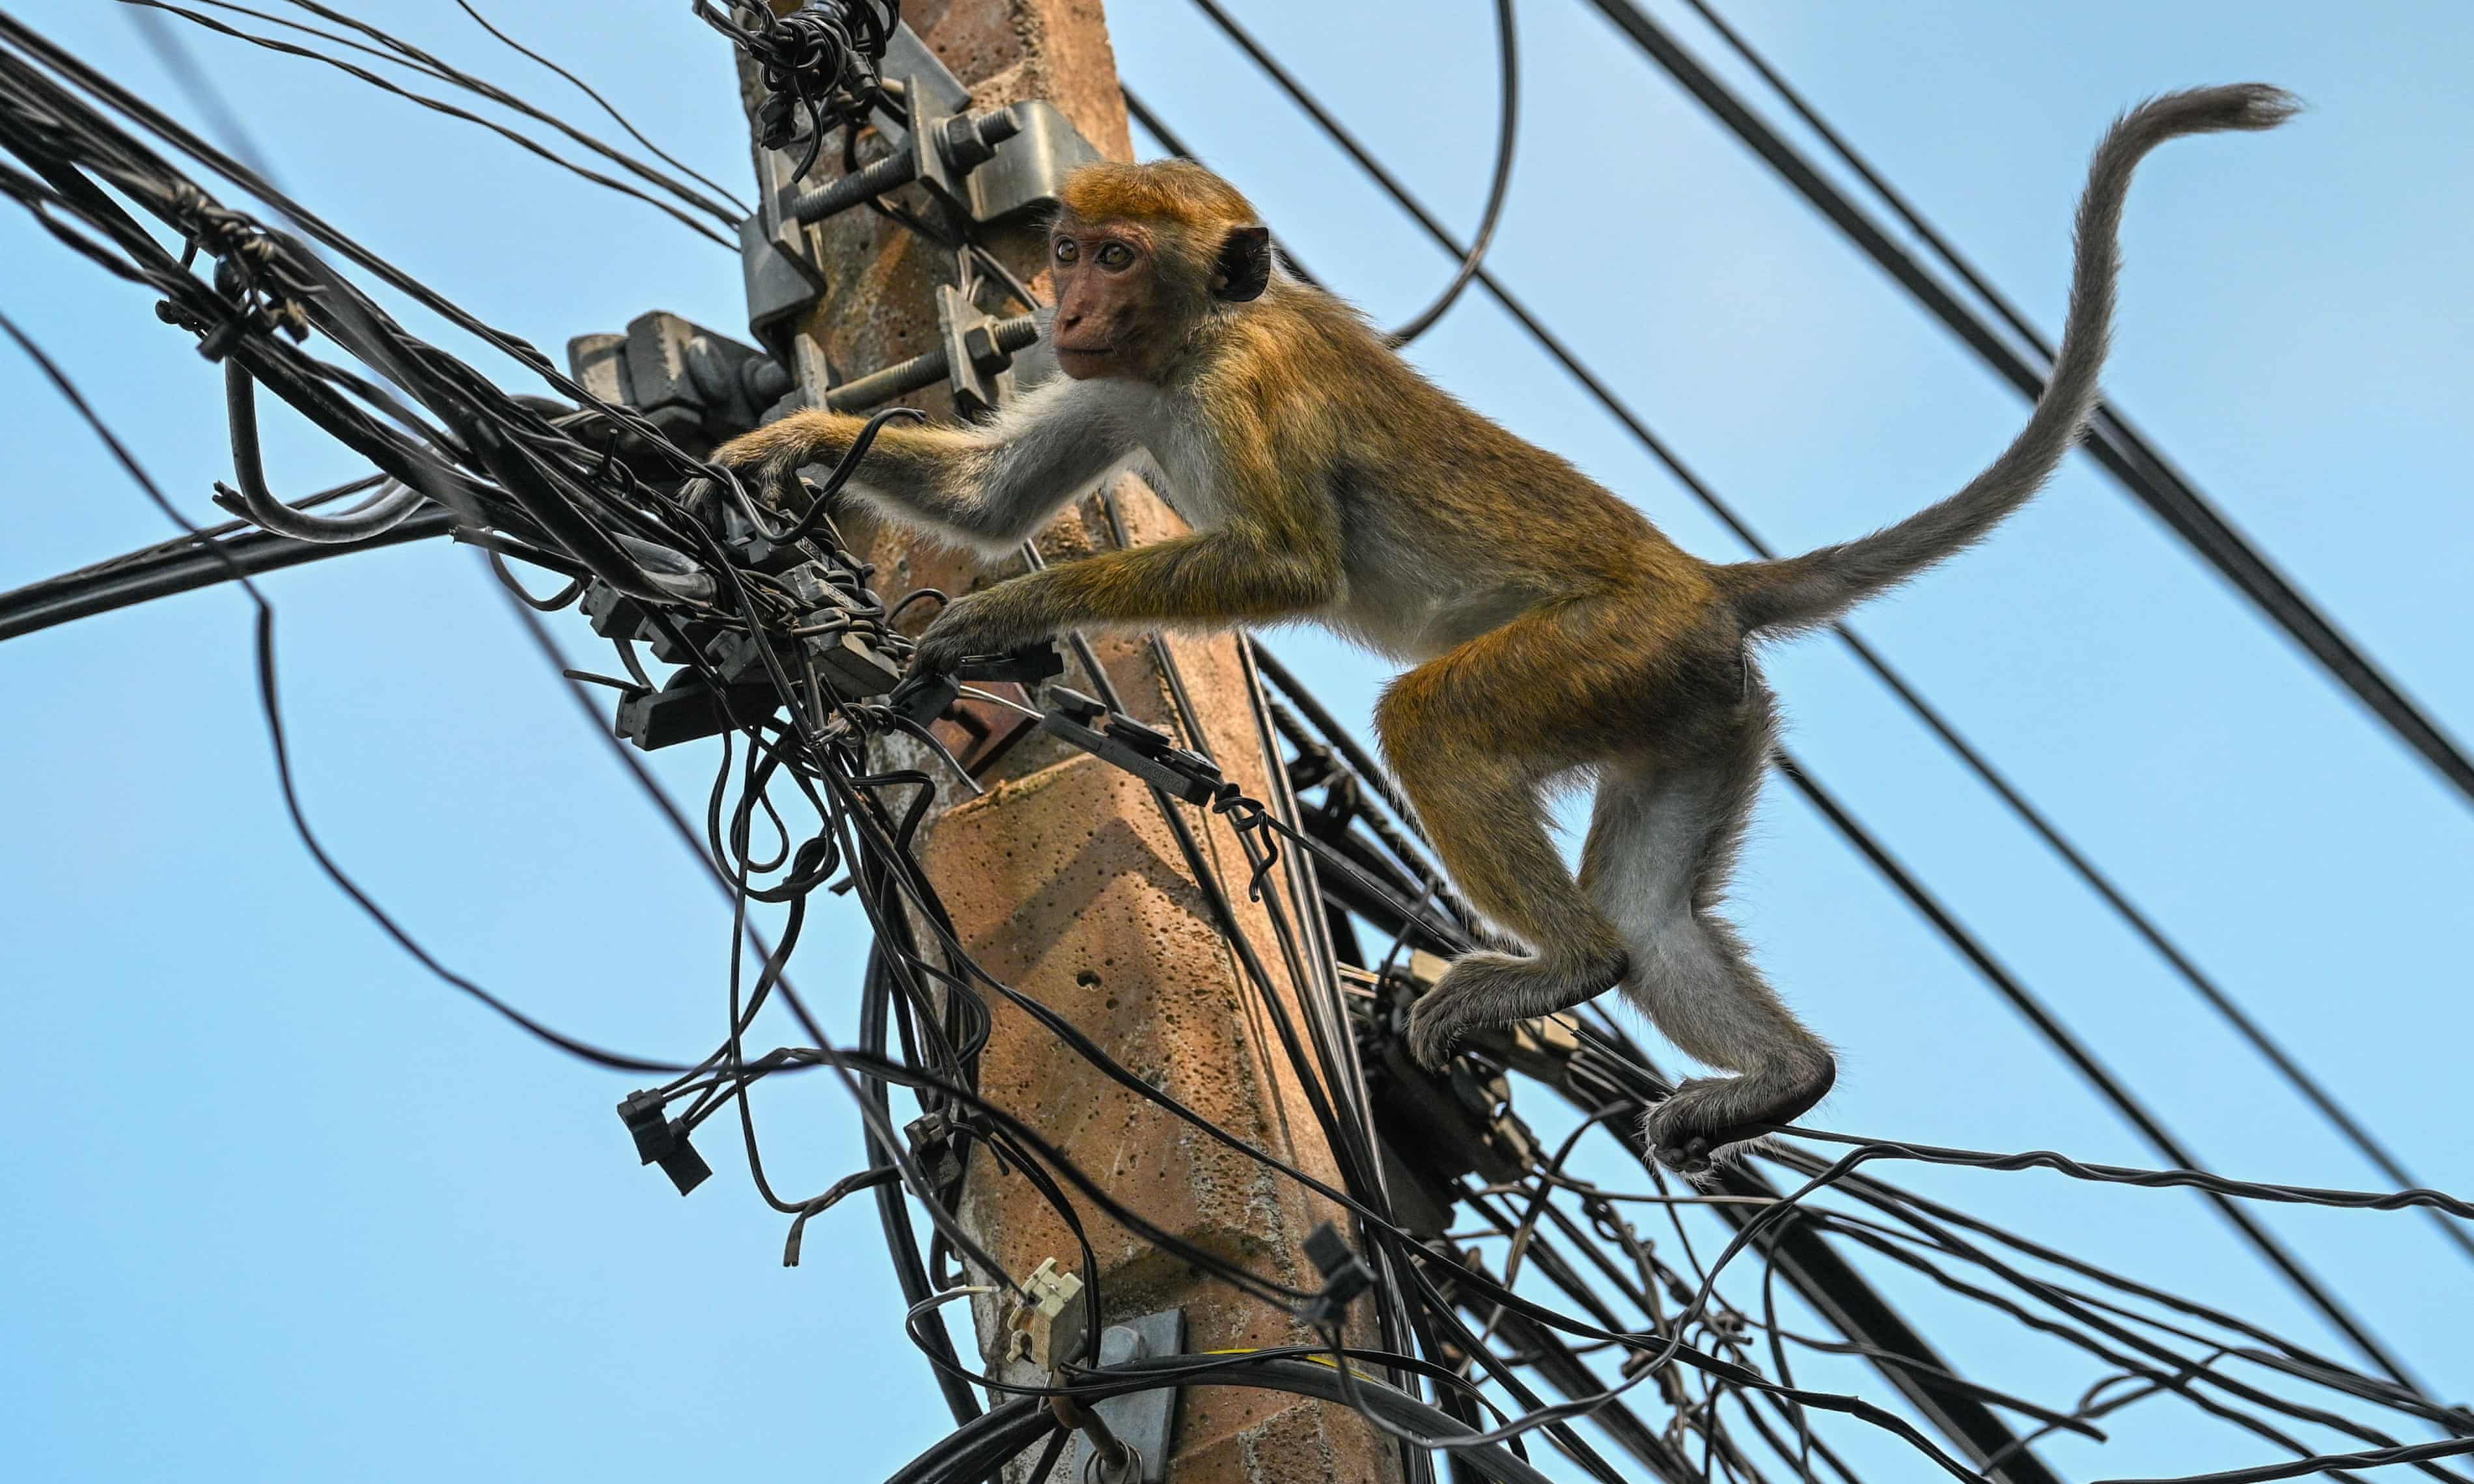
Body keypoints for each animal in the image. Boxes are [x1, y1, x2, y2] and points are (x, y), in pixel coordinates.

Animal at [713, 84, 2297, 1171]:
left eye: (1115, 256)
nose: (1069, 298)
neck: (1197, 341)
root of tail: (1702, 581)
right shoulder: (1111, 385)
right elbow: (990, 495)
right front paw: (775, 450)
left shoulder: (1244, 389)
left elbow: (1283, 563)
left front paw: (1001, 615)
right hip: (1698, 709)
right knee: (1658, 917)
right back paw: (1780, 1075)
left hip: (1611, 651)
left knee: (1437, 727)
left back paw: (1564, 967)